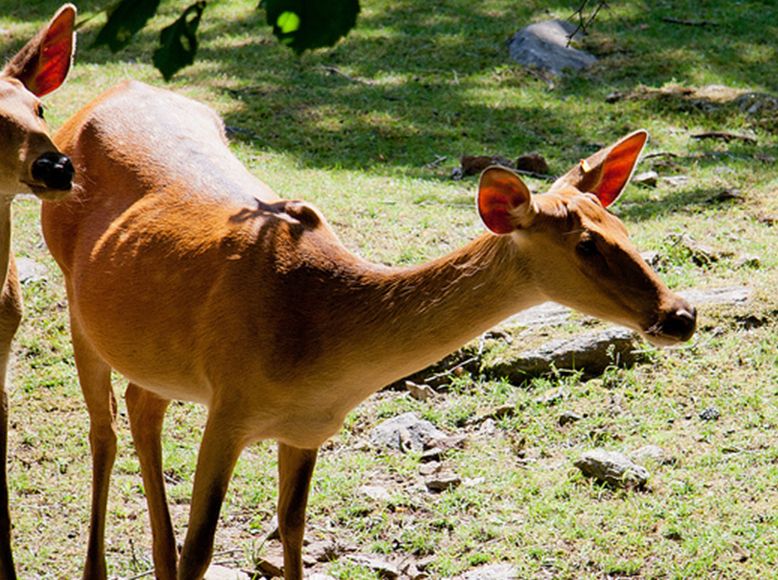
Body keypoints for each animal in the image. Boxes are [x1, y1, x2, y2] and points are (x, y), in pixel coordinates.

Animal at [41, 80, 696, 580]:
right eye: (586, 244)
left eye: (623, 226)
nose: (680, 314)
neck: (315, 348)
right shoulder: (228, 403)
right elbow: (203, 548)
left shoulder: (307, 429)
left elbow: (293, 531)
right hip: (75, 300)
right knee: (103, 430)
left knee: (140, 402)